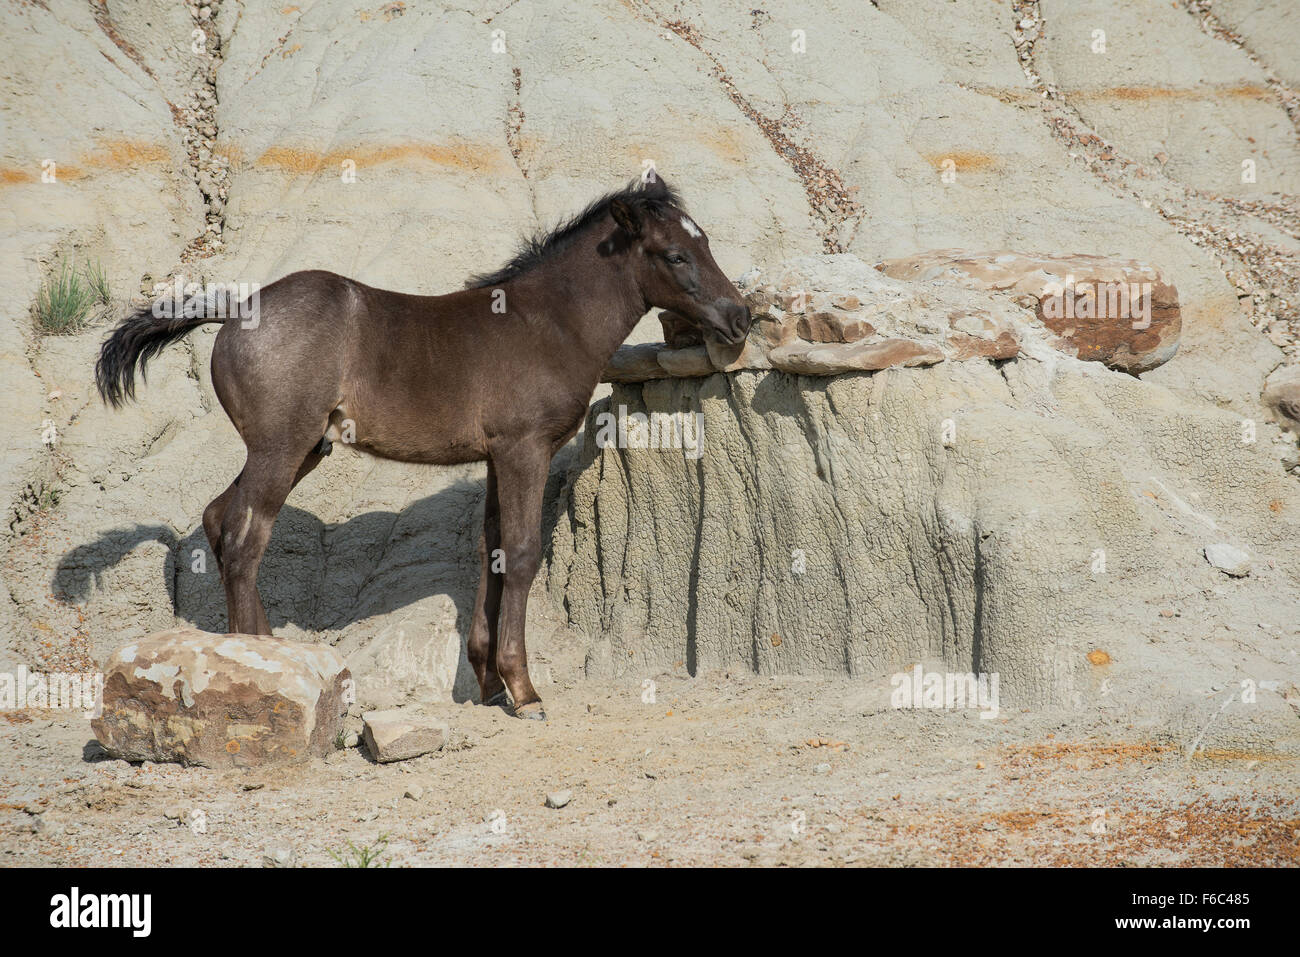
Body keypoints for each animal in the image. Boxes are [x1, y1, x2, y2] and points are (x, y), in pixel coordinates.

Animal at [94, 178, 754, 717]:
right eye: (676, 255)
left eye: (705, 245)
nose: (741, 316)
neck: (546, 323)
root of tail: (235, 306)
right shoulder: (525, 449)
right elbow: (521, 553)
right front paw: (524, 690)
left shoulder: (497, 457)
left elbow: (491, 549)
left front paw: (488, 685)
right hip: (279, 449)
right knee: (243, 537)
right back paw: (260, 663)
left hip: (302, 448)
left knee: (219, 517)